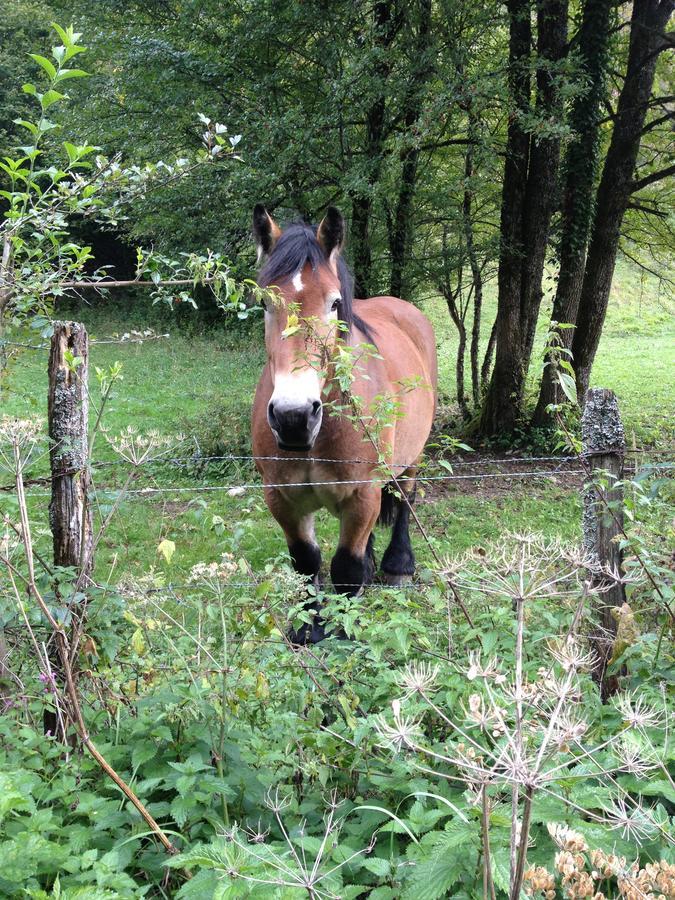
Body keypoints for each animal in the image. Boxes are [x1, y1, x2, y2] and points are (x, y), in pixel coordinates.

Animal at [251, 206, 436, 640]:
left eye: (334, 303)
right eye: (264, 302)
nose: (294, 416)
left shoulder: (361, 494)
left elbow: (345, 569)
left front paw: (344, 633)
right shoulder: (282, 498)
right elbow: (306, 563)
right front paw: (309, 628)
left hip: (413, 457)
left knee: (404, 498)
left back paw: (397, 566)